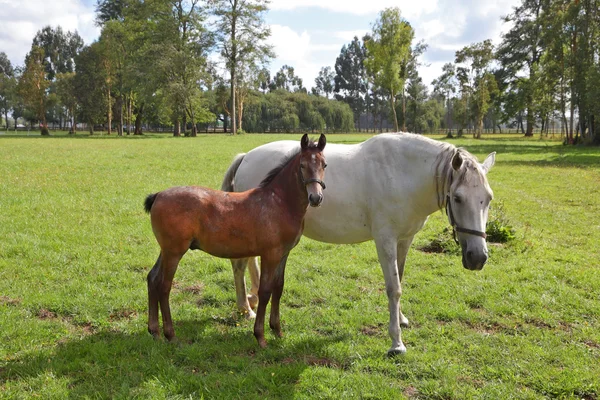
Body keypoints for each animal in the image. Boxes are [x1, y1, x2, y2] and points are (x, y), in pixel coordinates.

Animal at [223, 133, 494, 354]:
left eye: (488, 198)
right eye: (457, 198)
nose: (478, 257)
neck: (402, 174)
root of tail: (246, 157)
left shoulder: (404, 239)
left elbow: (400, 278)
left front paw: (401, 319)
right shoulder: (385, 240)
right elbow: (393, 288)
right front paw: (396, 343)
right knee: (239, 266)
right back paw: (245, 309)